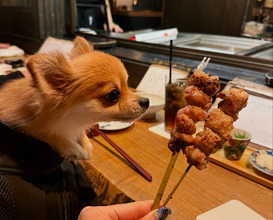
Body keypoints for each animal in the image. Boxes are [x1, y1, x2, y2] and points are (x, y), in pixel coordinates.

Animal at [0, 36, 149, 160]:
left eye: (128, 85)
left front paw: (85, 144)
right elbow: (43, 132)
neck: (72, 119)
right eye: (113, 95)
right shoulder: (23, 126)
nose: (146, 101)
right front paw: (71, 147)